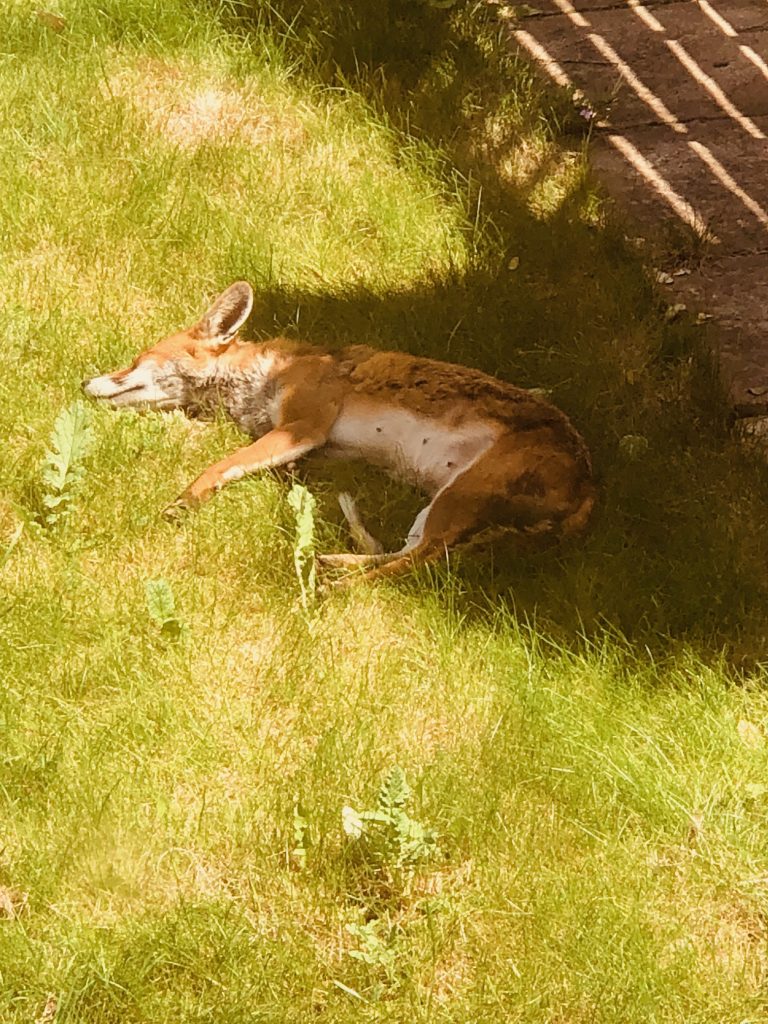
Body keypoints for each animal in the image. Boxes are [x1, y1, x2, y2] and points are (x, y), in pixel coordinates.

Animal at [83, 281, 595, 584]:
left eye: (134, 360)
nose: (85, 384)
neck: (261, 379)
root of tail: (591, 488)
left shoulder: (304, 425)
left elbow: (221, 464)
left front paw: (185, 501)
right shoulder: (310, 447)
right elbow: (262, 467)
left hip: (460, 497)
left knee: (416, 566)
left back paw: (343, 587)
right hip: (443, 506)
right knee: (405, 554)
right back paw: (336, 562)